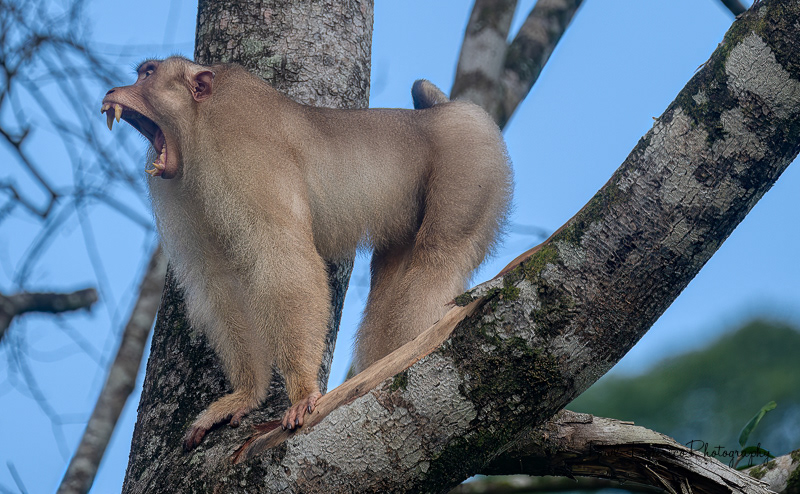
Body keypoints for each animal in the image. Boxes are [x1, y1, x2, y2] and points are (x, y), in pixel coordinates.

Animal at [101, 56, 512, 451]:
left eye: (147, 74)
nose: (112, 91)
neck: (199, 122)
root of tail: (447, 109)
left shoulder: (243, 149)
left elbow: (283, 257)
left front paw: (301, 392)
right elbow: (220, 283)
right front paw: (246, 395)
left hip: (470, 160)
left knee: (437, 257)